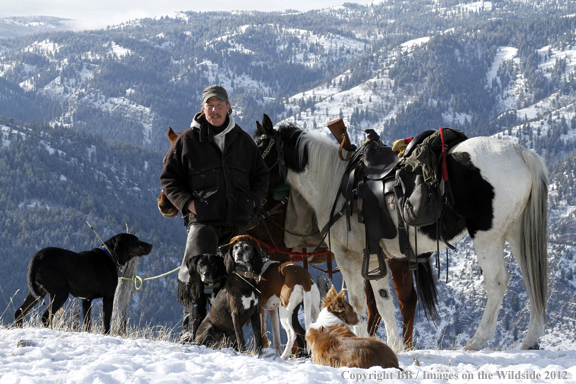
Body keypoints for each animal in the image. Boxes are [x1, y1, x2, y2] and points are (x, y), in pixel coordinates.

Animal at [15, 232, 154, 334]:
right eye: (136, 241)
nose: (151, 245)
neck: (110, 256)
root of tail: (37, 257)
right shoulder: (108, 297)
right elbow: (106, 322)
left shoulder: (86, 300)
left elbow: (87, 324)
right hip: (60, 293)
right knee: (45, 316)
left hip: (38, 291)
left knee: (19, 312)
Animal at [256, 121, 548, 352]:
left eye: (261, 148)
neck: (336, 184)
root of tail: (521, 153)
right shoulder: (376, 257)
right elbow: (381, 302)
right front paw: (392, 344)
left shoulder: (351, 257)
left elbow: (362, 303)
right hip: (517, 233)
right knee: (532, 278)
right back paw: (530, 339)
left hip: (488, 235)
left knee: (497, 282)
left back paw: (477, 340)